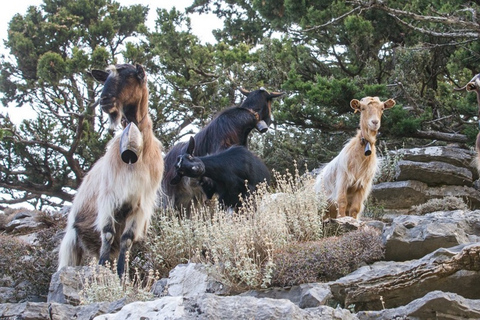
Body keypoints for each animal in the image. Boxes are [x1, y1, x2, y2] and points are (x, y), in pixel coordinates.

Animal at [57, 63, 163, 276]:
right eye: (105, 77)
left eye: (130, 76)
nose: (104, 100)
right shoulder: (109, 197)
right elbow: (107, 233)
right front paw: (102, 268)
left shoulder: (139, 204)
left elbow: (127, 239)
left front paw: (122, 273)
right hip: (72, 238)